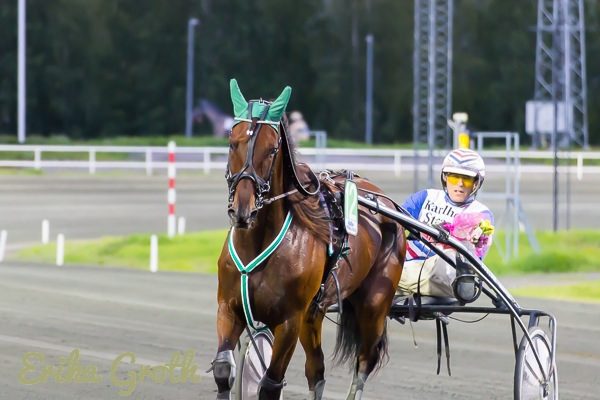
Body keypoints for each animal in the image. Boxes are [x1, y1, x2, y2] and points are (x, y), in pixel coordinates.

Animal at [211, 79, 408, 400]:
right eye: (232, 142)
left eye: (272, 149)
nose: (242, 209)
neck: (258, 243)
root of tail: (384, 201)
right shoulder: (228, 308)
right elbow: (222, 369)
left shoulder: (289, 321)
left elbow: (270, 384)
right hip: (313, 315)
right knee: (316, 370)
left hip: (374, 304)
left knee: (364, 362)